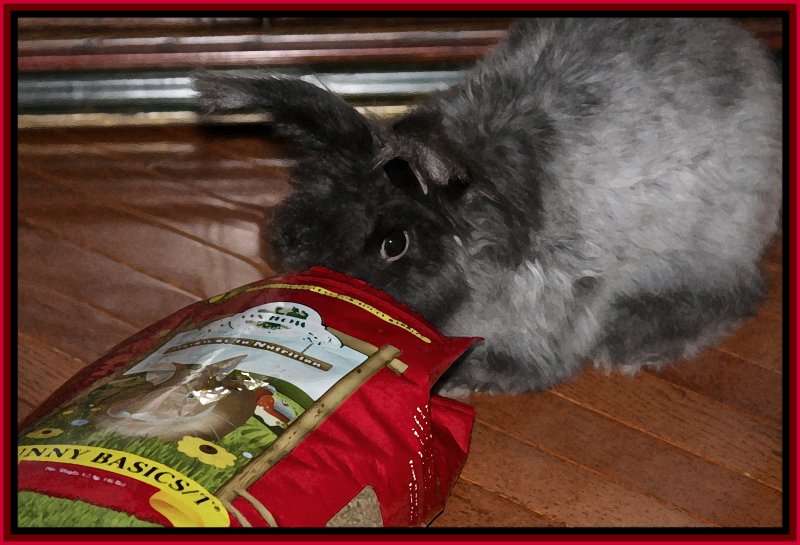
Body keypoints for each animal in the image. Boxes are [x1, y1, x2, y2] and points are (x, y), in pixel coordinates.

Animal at [197, 19, 784, 396]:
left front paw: (464, 378)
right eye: (308, 209)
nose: (312, 286)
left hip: (704, 240)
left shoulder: (563, 294)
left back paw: (634, 344)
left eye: (395, 244)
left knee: (735, 296)